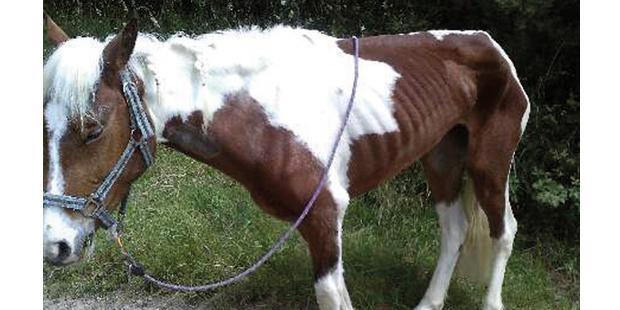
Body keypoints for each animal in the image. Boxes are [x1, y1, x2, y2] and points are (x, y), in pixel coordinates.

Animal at [43, 17, 528, 310]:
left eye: (93, 130)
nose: (54, 245)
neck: (263, 113)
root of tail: (490, 43)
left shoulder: (325, 215)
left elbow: (331, 295)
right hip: (442, 158)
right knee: (455, 230)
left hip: (489, 162)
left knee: (504, 231)